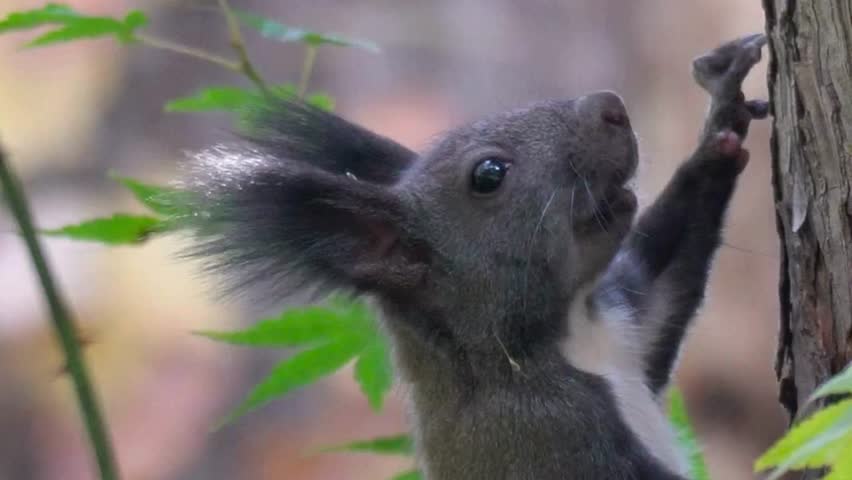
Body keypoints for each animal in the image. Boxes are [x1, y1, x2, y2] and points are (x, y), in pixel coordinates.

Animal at [175, 34, 769, 479]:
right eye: (488, 175)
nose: (610, 107)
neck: (569, 334)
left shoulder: (627, 324)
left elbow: (668, 282)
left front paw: (721, 121)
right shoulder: (550, 436)